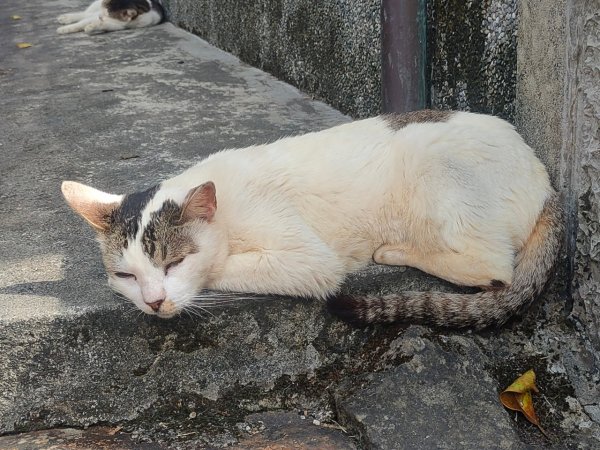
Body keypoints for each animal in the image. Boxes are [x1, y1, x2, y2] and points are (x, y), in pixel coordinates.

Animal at [61, 110, 564, 328]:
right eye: (126, 276)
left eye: (174, 263)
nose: (154, 302)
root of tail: (545, 177)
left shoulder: (308, 259)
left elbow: (223, 266)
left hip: (434, 160)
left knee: (493, 267)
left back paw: (394, 250)